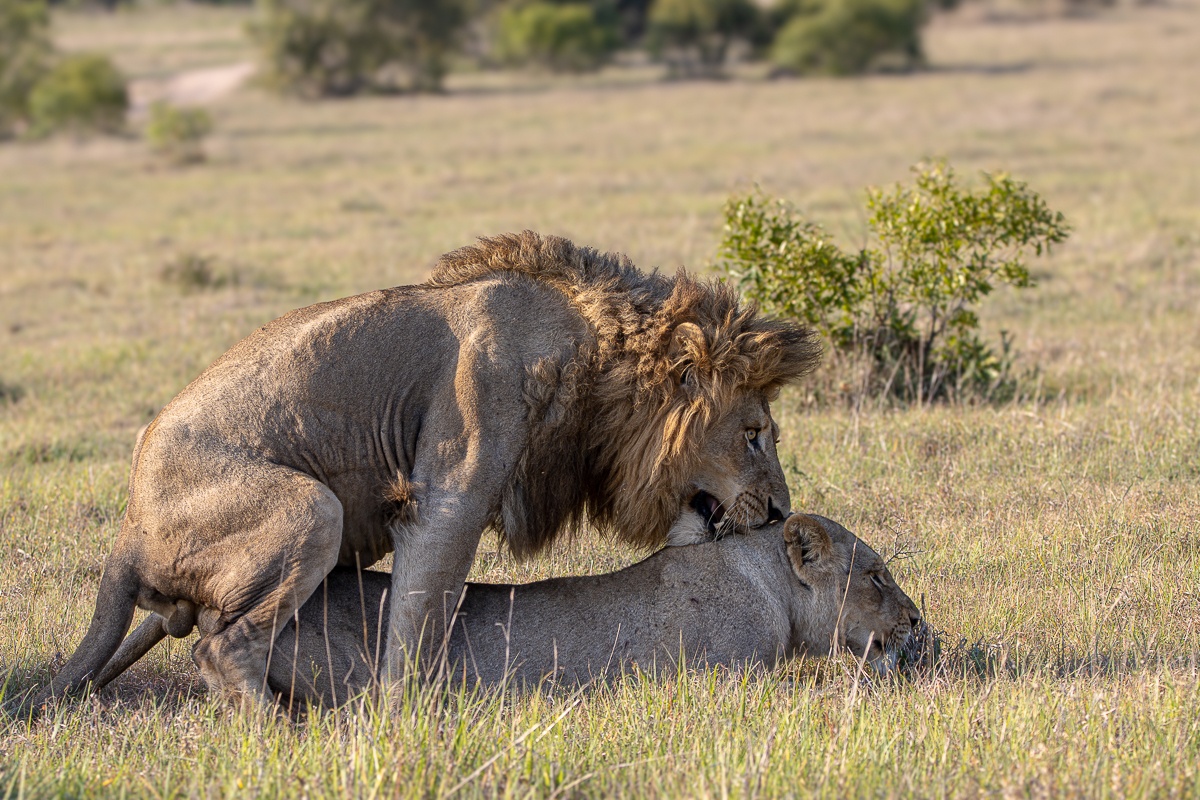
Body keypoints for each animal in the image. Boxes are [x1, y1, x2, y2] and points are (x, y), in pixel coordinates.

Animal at [35, 231, 820, 708]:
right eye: (754, 435)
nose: (780, 512)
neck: (596, 364)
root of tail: (128, 531)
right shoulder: (450, 497)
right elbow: (416, 628)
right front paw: (406, 720)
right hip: (312, 507)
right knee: (224, 646)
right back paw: (289, 732)